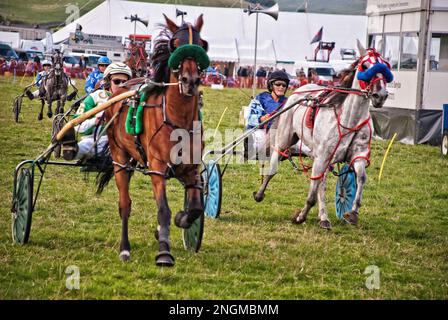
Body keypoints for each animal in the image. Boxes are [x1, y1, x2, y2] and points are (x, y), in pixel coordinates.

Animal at [100, 13, 209, 266]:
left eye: (201, 45)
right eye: (176, 45)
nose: (190, 80)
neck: (178, 119)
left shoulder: (191, 168)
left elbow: (195, 208)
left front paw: (180, 220)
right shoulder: (157, 168)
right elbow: (163, 210)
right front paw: (164, 253)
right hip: (120, 159)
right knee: (125, 204)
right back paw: (125, 248)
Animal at [254, 43, 394, 230]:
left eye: (385, 66)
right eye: (365, 66)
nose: (381, 95)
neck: (349, 119)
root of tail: (298, 90)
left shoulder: (357, 155)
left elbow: (361, 178)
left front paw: (352, 213)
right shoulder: (322, 157)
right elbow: (313, 192)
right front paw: (300, 216)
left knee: (322, 183)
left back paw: (324, 217)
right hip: (285, 140)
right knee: (273, 169)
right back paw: (260, 193)